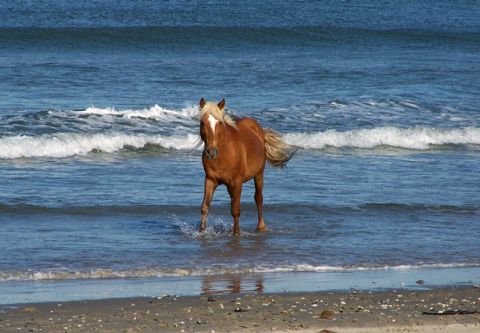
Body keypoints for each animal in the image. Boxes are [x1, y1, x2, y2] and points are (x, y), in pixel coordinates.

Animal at [198, 97, 294, 235]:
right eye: (202, 123)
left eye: (219, 123)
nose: (211, 152)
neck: (225, 152)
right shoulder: (210, 180)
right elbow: (205, 207)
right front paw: (201, 232)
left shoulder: (237, 182)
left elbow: (236, 210)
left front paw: (236, 234)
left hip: (258, 175)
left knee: (258, 198)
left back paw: (261, 226)